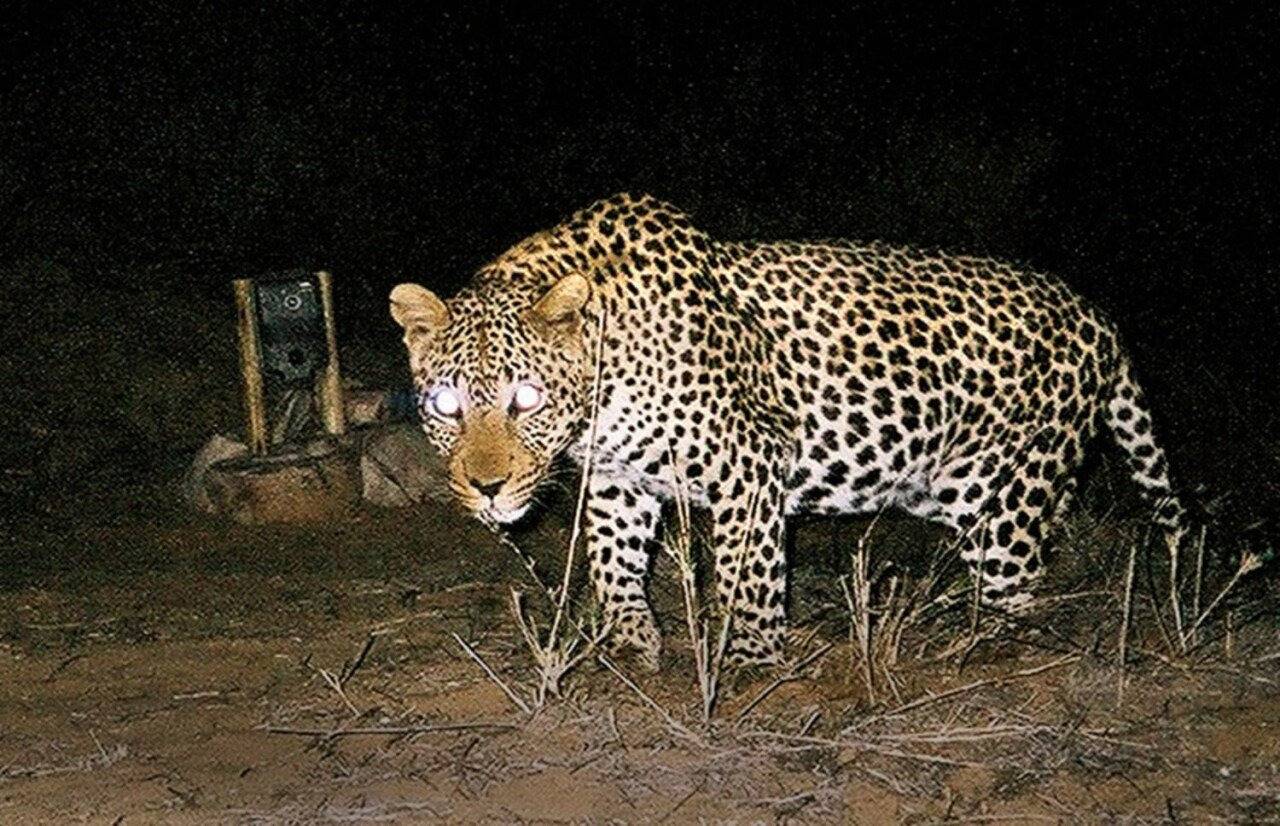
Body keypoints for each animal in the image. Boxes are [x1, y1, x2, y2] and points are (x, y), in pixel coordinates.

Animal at [389, 193, 1187, 671]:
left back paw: (989, 652)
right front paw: (634, 647)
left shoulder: (748, 465)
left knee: (1019, 590)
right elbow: (615, 566)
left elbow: (746, 575)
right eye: (447, 404)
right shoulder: (619, 480)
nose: (487, 487)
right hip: (969, 486)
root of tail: (1095, 313)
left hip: (1005, 495)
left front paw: (749, 663)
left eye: (526, 398)